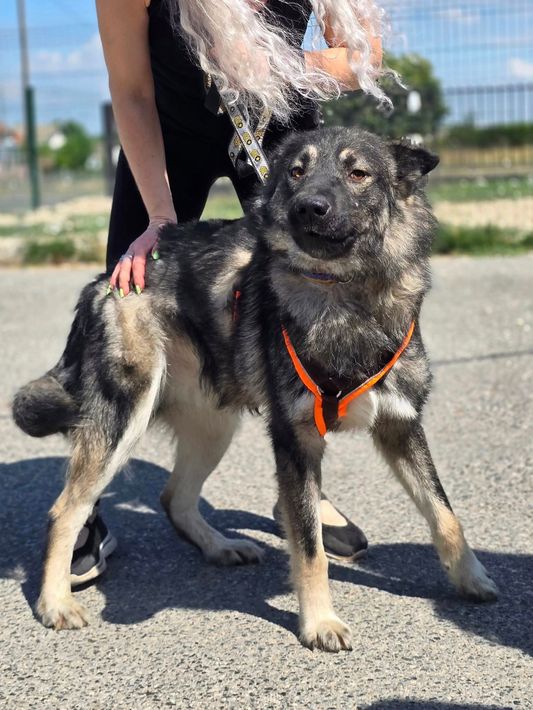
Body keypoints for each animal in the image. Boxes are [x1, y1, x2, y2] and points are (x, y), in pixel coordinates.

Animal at [13, 127, 498, 651]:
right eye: (297, 172)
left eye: (358, 173)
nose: (309, 207)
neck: (343, 294)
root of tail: (108, 277)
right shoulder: (297, 441)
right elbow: (309, 545)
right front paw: (320, 622)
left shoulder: (401, 426)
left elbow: (444, 513)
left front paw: (471, 578)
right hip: (125, 416)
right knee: (65, 510)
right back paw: (55, 602)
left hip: (214, 426)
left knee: (174, 497)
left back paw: (221, 546)